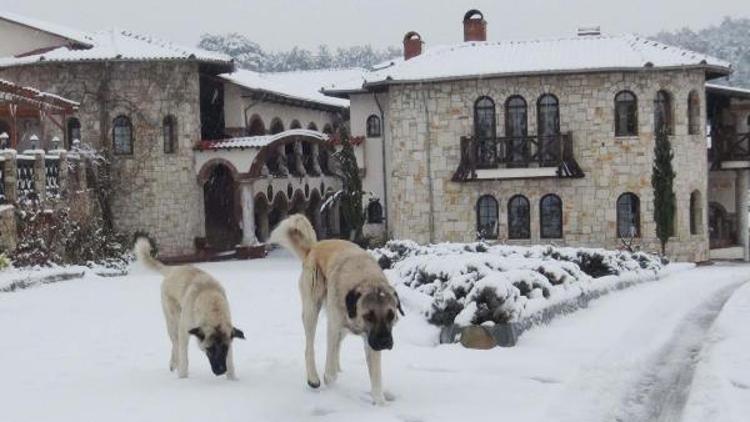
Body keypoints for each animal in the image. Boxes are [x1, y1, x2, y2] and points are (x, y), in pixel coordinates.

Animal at [132, 237, 244, 380]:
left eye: (224, 349)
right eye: (210, 349)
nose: (220, 371)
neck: (212, 305)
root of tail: (172, 270)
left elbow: (230, 360)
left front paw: (232, 379)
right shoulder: (184, 331)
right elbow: (184, 357)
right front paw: (183, 378)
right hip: (174, 322)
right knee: (175, 344)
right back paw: (174, 364)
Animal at [272, 214, 406, 406]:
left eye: (391, 315)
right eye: (369, 316)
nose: (384, 342)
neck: (365, 279)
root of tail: (313, 248)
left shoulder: (369, 340)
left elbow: (376, 378)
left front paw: (381, 404)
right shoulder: (335, 327)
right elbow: (330, 372)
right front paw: (328, 379)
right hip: (312, 310)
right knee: (309, 347)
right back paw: (313, 378)